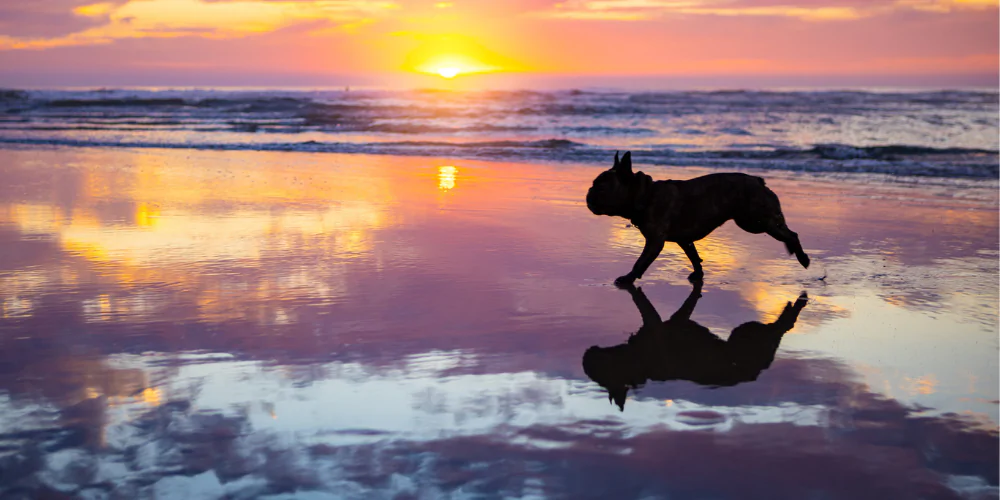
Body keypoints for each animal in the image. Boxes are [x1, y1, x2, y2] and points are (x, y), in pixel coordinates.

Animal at [584, 284, 808, 412]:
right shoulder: (676, 320)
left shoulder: (654, 324)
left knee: (781, 327)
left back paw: (796, 304)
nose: (585, 356)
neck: (637, 362)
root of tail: (756, 373)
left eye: (598, 372)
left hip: (749, 334)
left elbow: (642, 304)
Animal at [588, 150, 808, 286]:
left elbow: (640, 262)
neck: (646, 195)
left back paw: (802, 257)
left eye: (601, 187)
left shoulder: (655, 241)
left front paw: (628, 279)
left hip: (755, 222)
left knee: (791, 233)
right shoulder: (684, 239)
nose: (588, 194)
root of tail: (759, 181)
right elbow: (694, 256)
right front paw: (699, 274)